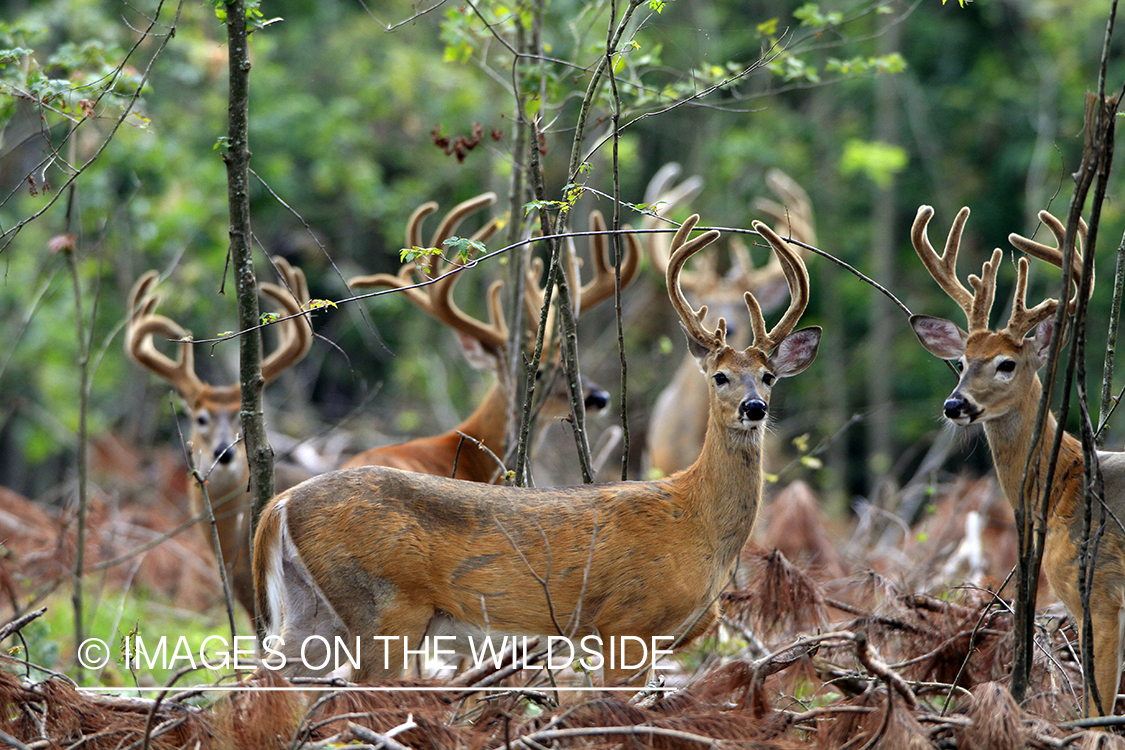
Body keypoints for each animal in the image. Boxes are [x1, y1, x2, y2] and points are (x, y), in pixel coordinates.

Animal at [913, 203, 1125, 715]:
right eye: (963, 361)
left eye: (1006, 363)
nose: (955, 404)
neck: (1065, 482)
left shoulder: (1099, 591)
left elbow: (1098, 711)